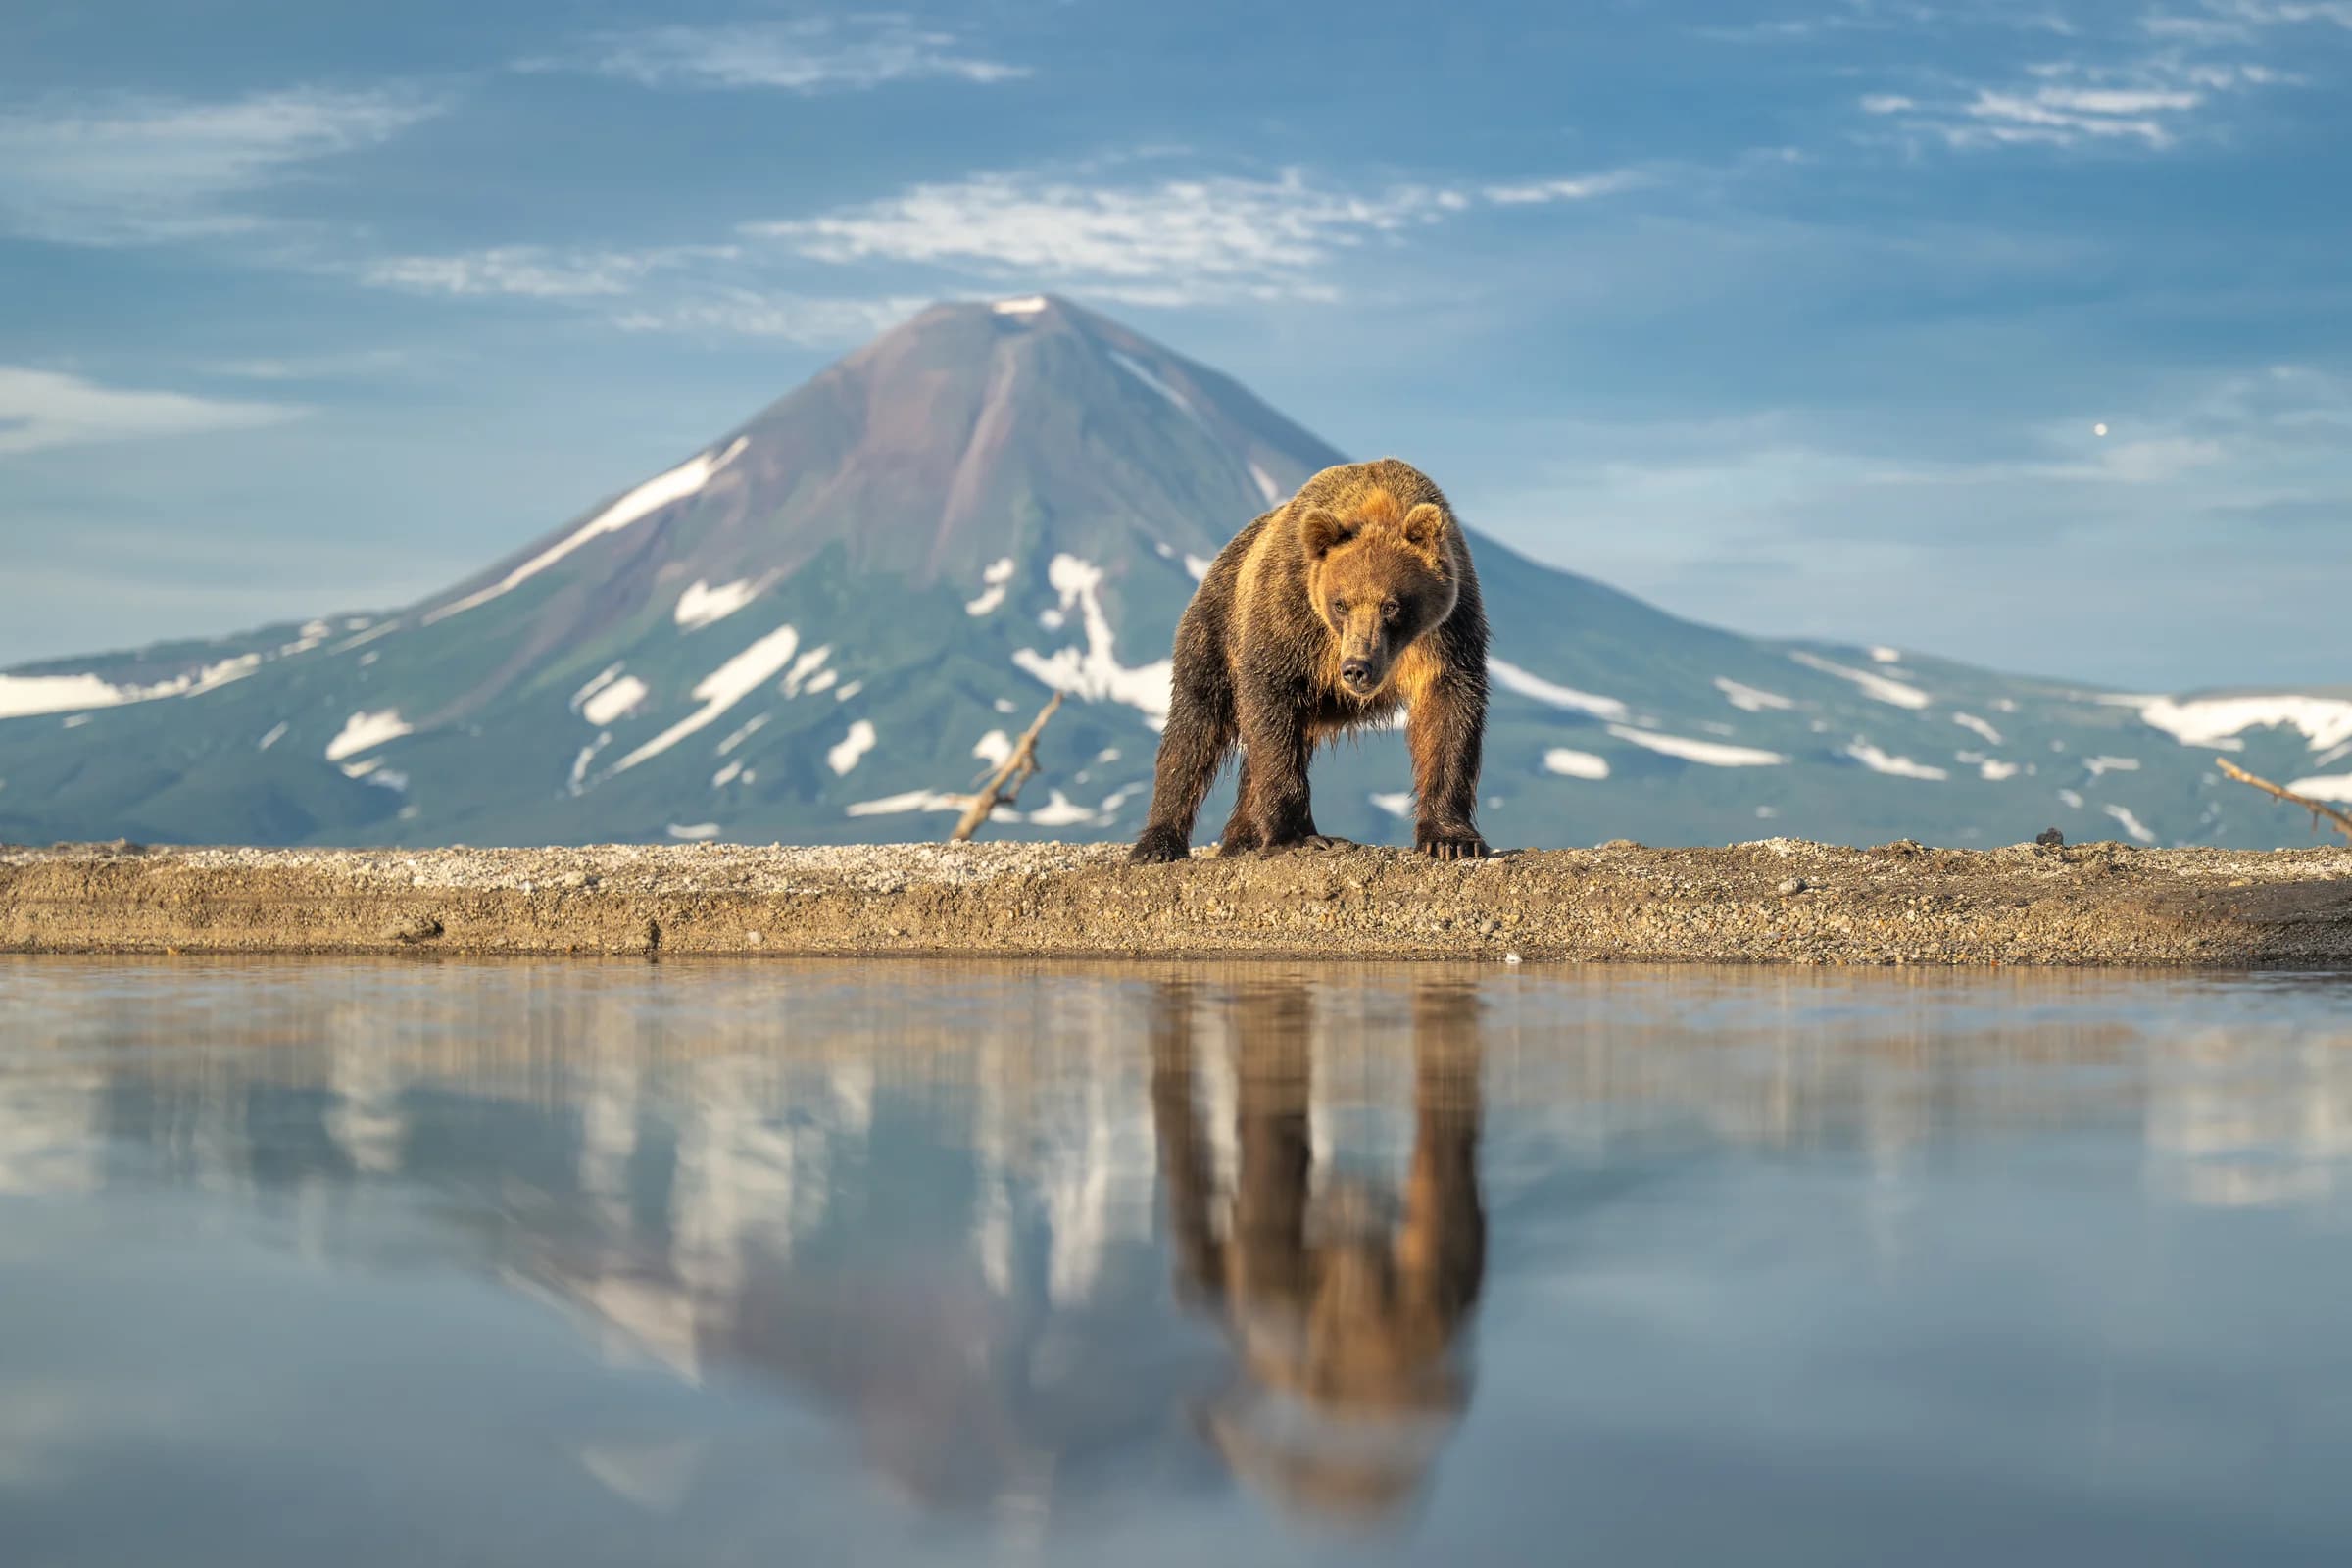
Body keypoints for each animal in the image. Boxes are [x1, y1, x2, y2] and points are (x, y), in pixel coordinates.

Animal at [1129, 457, 1490, 863]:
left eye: (1391, 605)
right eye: (1340, 603)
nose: (1356, 668)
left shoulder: (1446, 633)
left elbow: (1448, 712)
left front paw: (1450, 839)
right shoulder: (1291, 615)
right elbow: (1271, 707)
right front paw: (1297, 835)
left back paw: (1243, 837)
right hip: (1215, 628)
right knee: (1194, 728)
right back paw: (1158, 843)